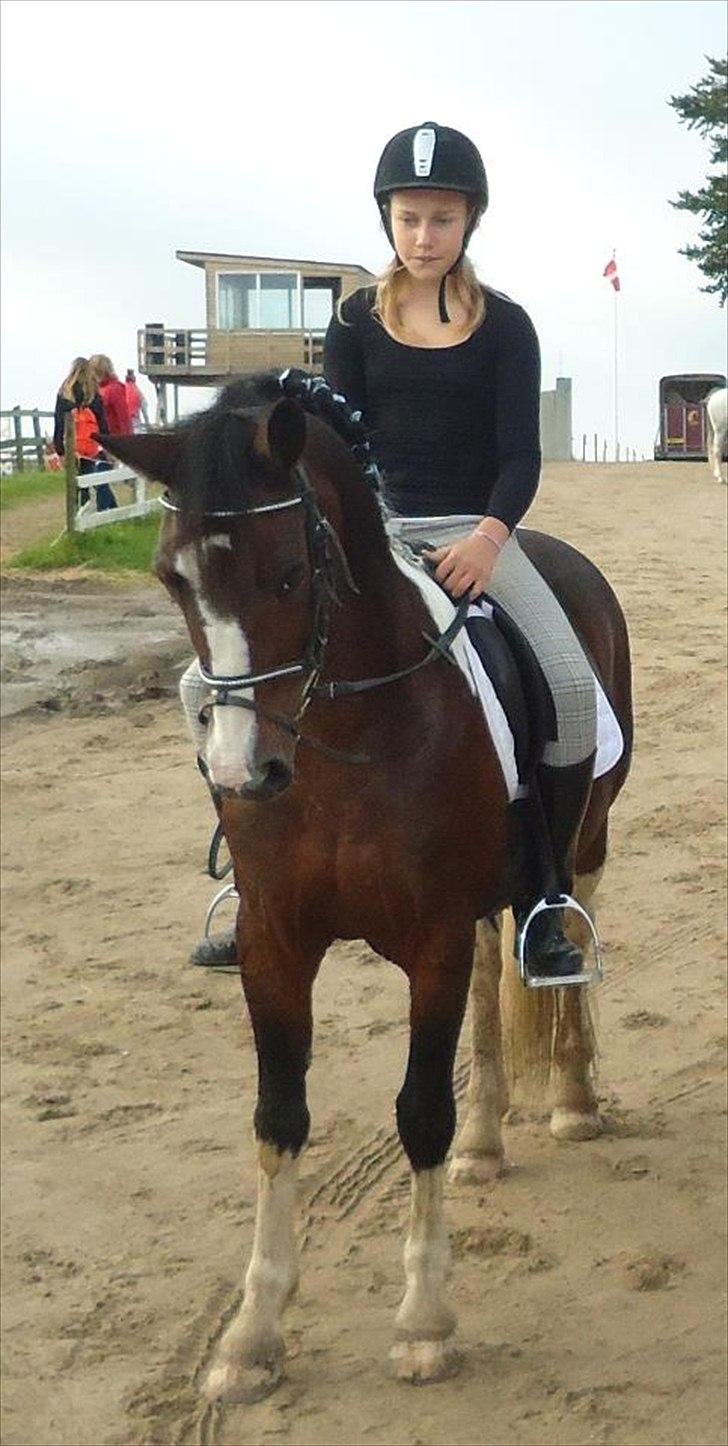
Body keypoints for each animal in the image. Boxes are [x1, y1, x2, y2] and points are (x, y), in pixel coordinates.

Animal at [101, 374, 633, 1404]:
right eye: (172, 579)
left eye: (288, 574)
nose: (245, 772)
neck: (345, 731)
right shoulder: (274, 945)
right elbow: (277, 1120)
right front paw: (253, 1334)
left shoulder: (428, 937)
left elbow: (418, 1111)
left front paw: (424, 1322)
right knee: (488, 983)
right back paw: (486, 1144)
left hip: (584, 841)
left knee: (569, 954)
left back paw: (573, 1100)